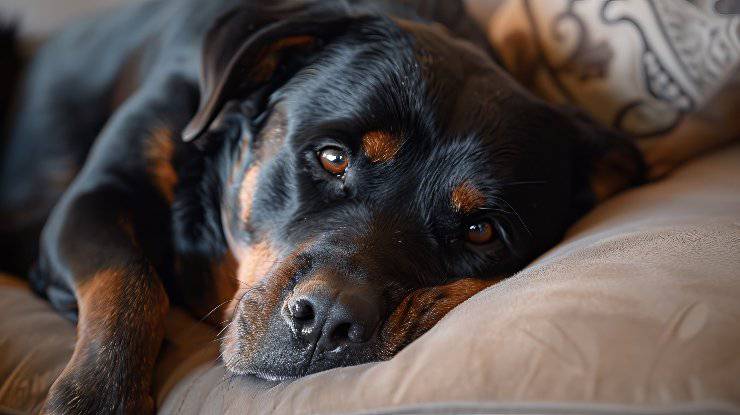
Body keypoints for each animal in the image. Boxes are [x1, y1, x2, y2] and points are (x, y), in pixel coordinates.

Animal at [0, 0, 644, 412]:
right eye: (332, 158)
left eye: (481, 231)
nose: (327, 320)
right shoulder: (94, 199)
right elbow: (129, 280)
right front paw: (98, 395)